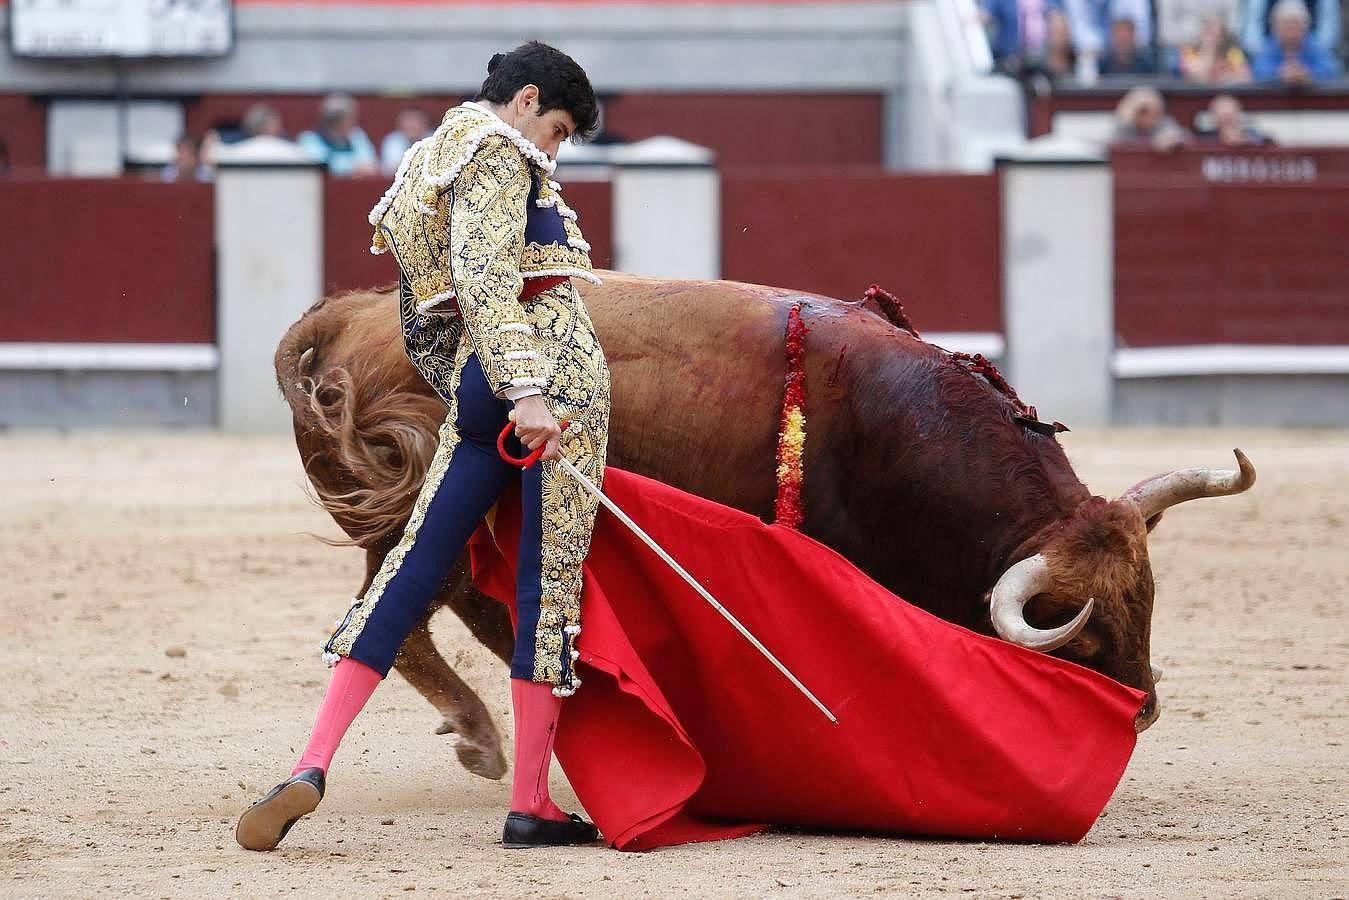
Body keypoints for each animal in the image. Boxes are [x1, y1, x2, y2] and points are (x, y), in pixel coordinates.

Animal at [273, 271, 1251, 777]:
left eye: (1147, 604)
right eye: (1081, 637)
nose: (1142, 710)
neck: (898, 426)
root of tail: (353, 310)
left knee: (460, 612)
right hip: (432, 510)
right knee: (396, 619)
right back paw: (483, 736)